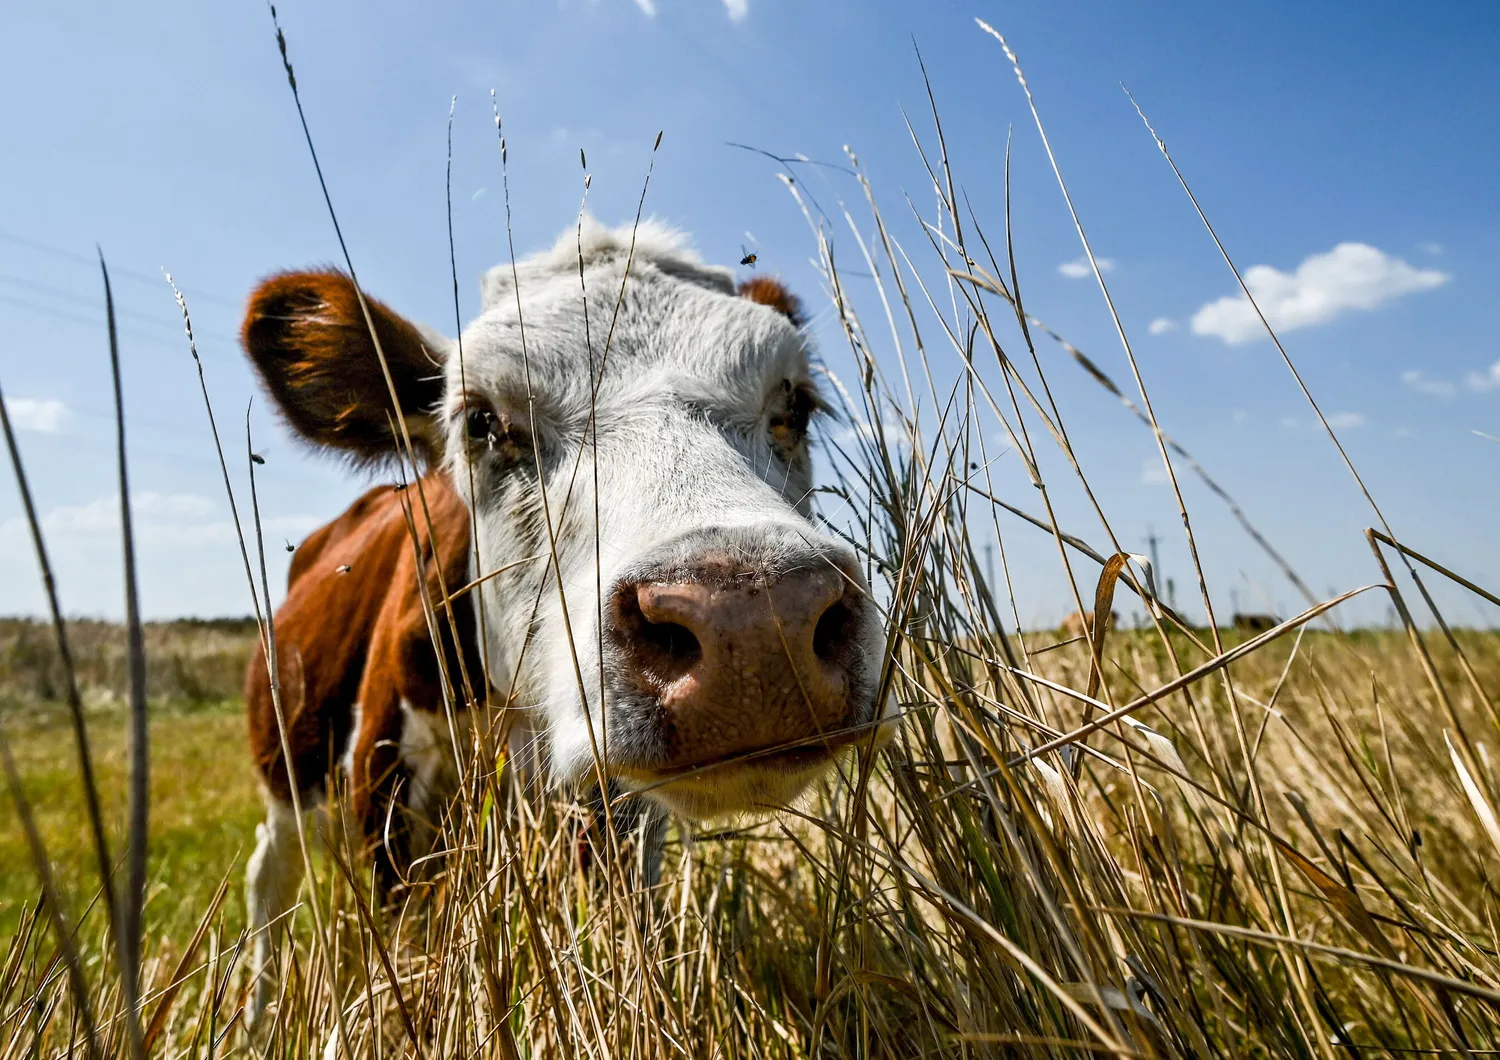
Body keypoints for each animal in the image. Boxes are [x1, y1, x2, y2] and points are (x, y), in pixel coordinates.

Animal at [240, 219, 890, 1023]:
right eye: (482, 420)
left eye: (795, 407)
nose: (752, 624)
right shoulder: (383, 783)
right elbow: (410, 950)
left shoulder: (616, 819)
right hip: (289, 759)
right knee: (269, 873)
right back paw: (259, 1013)